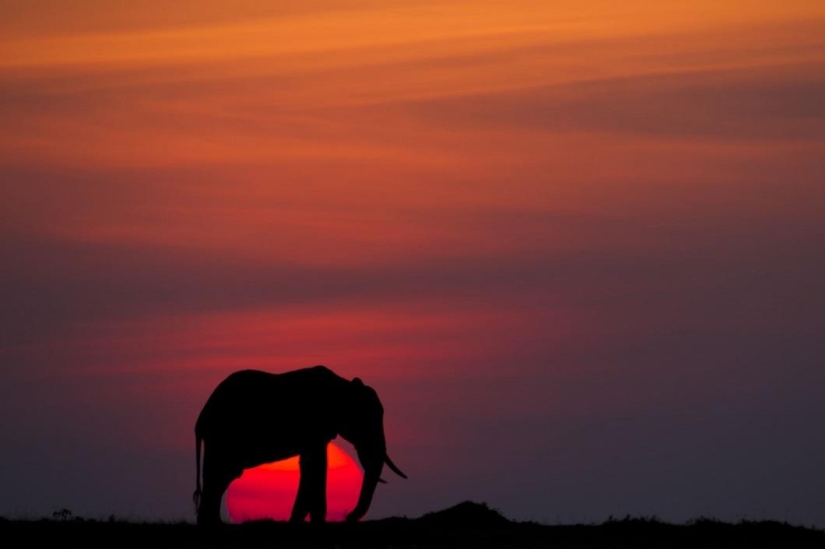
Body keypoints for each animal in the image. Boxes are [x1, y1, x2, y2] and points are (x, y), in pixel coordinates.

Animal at [191, 366, 408, 524]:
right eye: (365, 421)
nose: (347, 517)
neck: (342, 385)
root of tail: (200, 419)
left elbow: (309, 464)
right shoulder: (314, 425)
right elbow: (317, 464)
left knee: (220, 478)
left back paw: (213, 524)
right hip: (222, 438)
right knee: (219, 475)